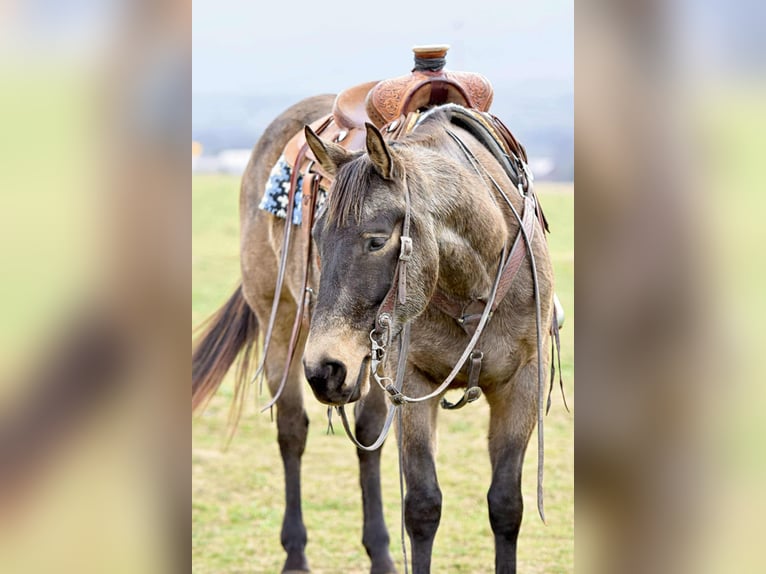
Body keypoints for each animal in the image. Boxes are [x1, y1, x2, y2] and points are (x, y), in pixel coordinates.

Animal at [195, 46, 560, 574]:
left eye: (376, 240)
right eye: (318, 236)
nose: (324, 368)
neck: (474, 284)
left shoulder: (523, 381)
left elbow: (506, 505)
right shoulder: (414, 383)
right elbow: (424, 505)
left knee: (366, 433)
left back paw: (381, 555)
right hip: (282, 326)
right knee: (292, 431)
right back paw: (295, 553)